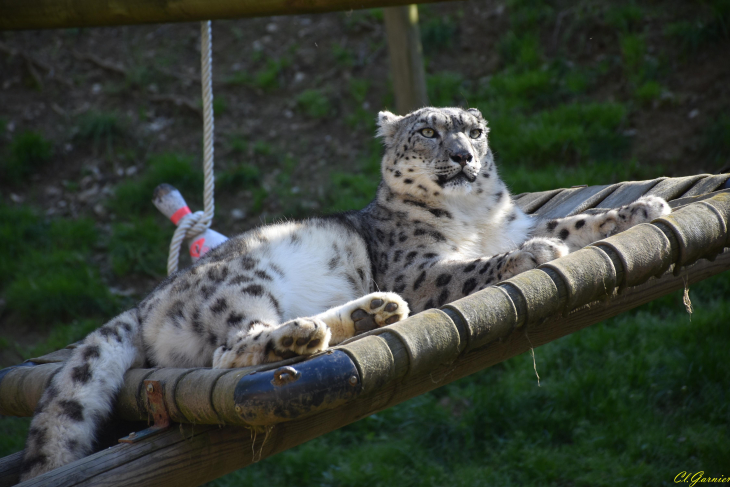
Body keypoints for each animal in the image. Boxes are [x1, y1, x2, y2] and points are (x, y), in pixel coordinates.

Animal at [19, 107, 668, 480]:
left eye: (474, 131)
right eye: (427, 132)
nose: (463, 156)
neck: (476, 217)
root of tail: (147, 300)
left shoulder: (517, 222)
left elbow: (573, 223)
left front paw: (642, 207)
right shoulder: (419, 270)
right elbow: (480, 265)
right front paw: (533, 256)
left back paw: (371, 312)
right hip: (243, 288)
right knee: (233, 350)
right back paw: (307, 333)